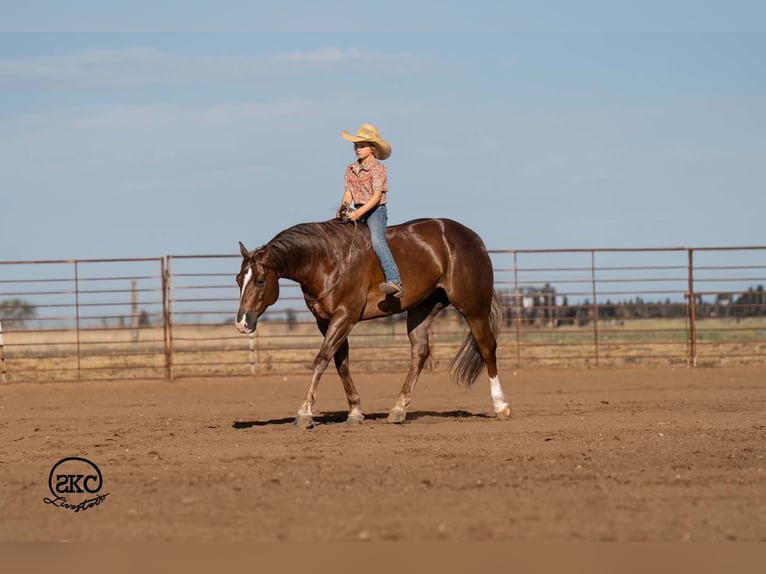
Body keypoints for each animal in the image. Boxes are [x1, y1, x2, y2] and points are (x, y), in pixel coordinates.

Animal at [235, 216, 511, 428]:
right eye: (239, 279)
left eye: (260, 280)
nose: (242, 322)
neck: (327, 259)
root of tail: (472, 238)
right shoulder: (326, 321)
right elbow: (341, 364)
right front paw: (355, 412)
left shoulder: (345, 316)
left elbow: (321, 359)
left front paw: (304, 412)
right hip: (422, 309)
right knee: (420, 353)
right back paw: (398, 409)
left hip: (473, 308)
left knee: (487, 347)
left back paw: (500, 405)